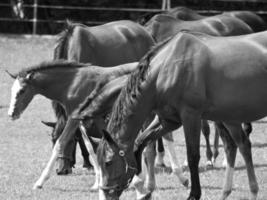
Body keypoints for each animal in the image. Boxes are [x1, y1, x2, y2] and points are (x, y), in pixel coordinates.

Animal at [71, 30, 267, 200]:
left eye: (108, 162)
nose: (106, 194)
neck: (166, 69)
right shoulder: (169, 121)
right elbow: (140, 143)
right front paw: (142, 187)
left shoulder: (191, 116)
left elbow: (192, 156)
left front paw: (193, 194)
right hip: (229, 117)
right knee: (240, 145)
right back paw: (244, 191)